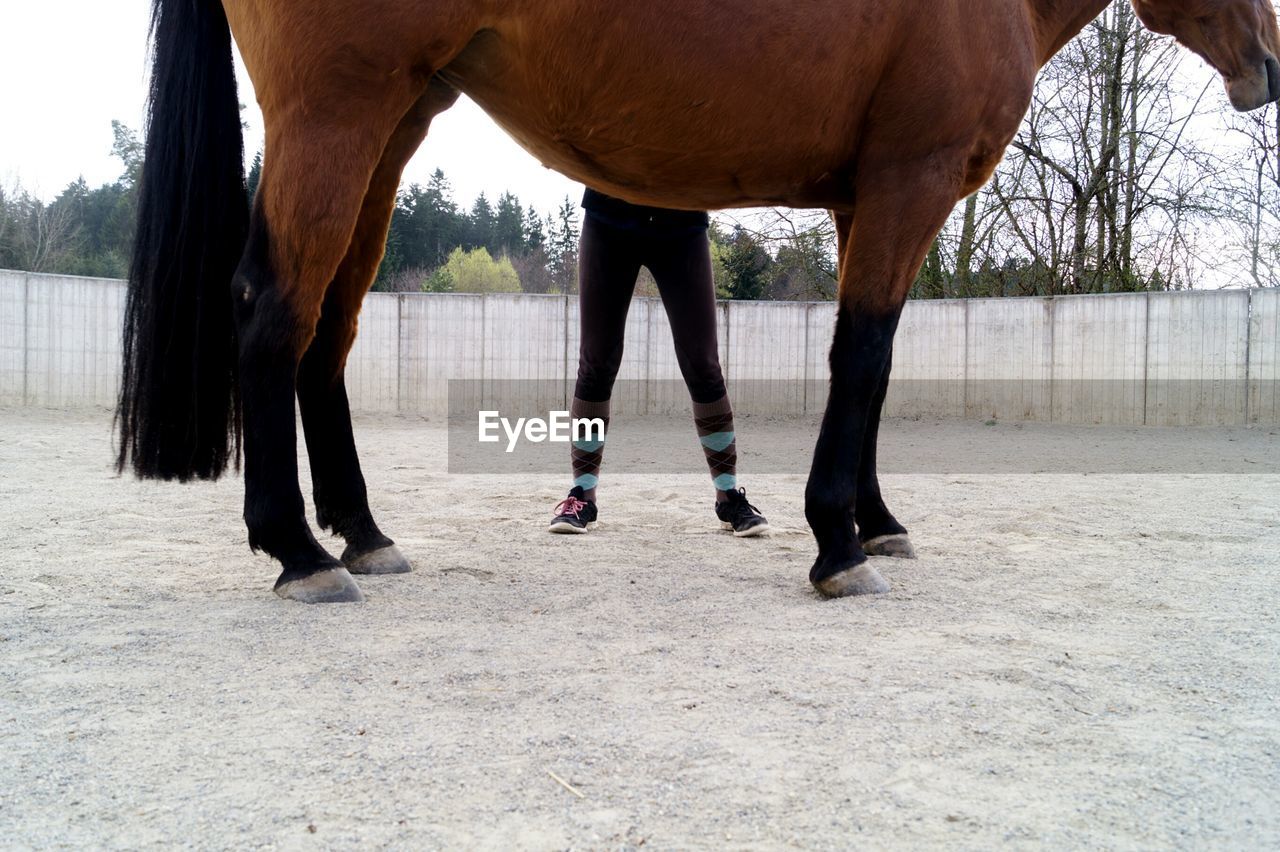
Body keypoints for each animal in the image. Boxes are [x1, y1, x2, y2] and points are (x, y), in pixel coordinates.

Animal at [112, 0, 1280, 601]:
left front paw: (875, 521)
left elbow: (874, 365)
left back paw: (361, 534)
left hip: (393, 123)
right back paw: (300, 554)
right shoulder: (907, 185)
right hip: (338, 115)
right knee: (273, 311)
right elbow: (860, 357)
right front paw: (837, 543)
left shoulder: (866, 199)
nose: (1267, 60)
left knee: (330, 330)